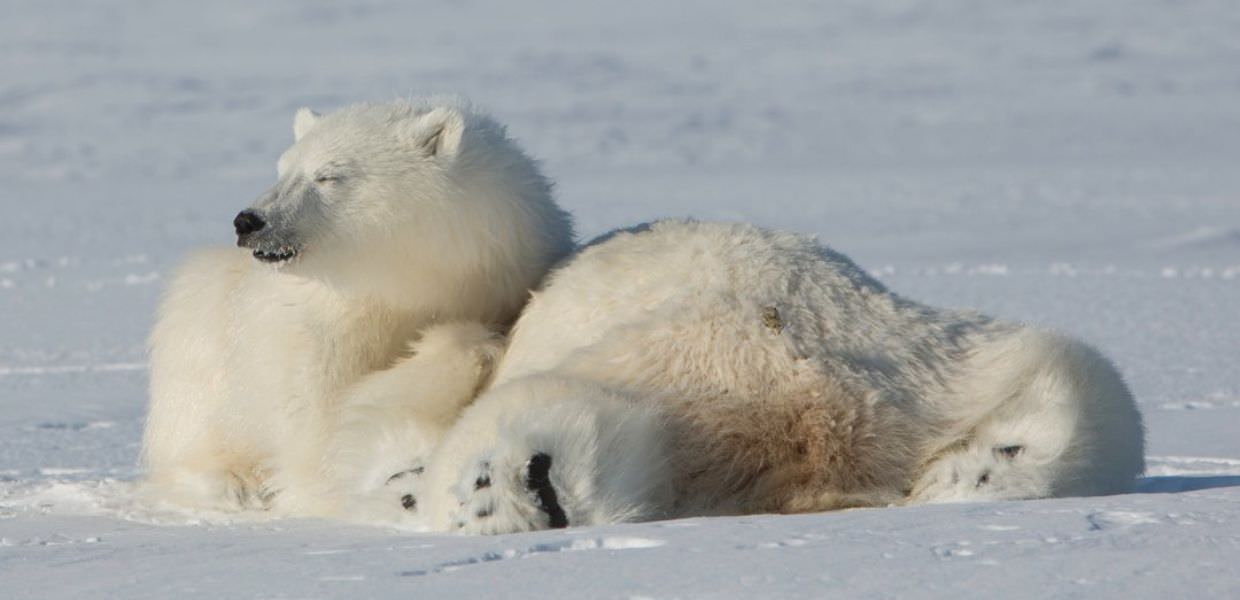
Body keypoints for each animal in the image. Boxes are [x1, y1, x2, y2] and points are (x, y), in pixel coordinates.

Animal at [141, 98, 574, 520]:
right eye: (285, 169)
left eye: (327, 176)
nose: (249, 221)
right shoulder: (323, 330)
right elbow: (319, 417)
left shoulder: (498, 277)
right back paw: (234, 483)